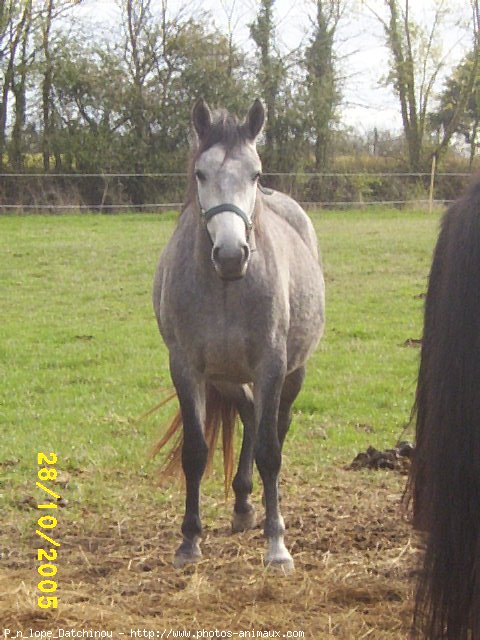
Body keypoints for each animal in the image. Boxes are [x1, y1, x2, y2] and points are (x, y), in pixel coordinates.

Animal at [153, 99, 326, 568]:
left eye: (256, 174)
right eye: (200, 173)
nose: (231, 254)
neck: (226, 288)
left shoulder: (272, 366)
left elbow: (271, 451)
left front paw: (277, 545)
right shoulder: (188, 369)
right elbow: (195, 453)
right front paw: (189, 541)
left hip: (292, 373)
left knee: (275, 427)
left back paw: (263, 512)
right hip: (227, 378)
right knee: (249, 414)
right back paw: (244, 505)